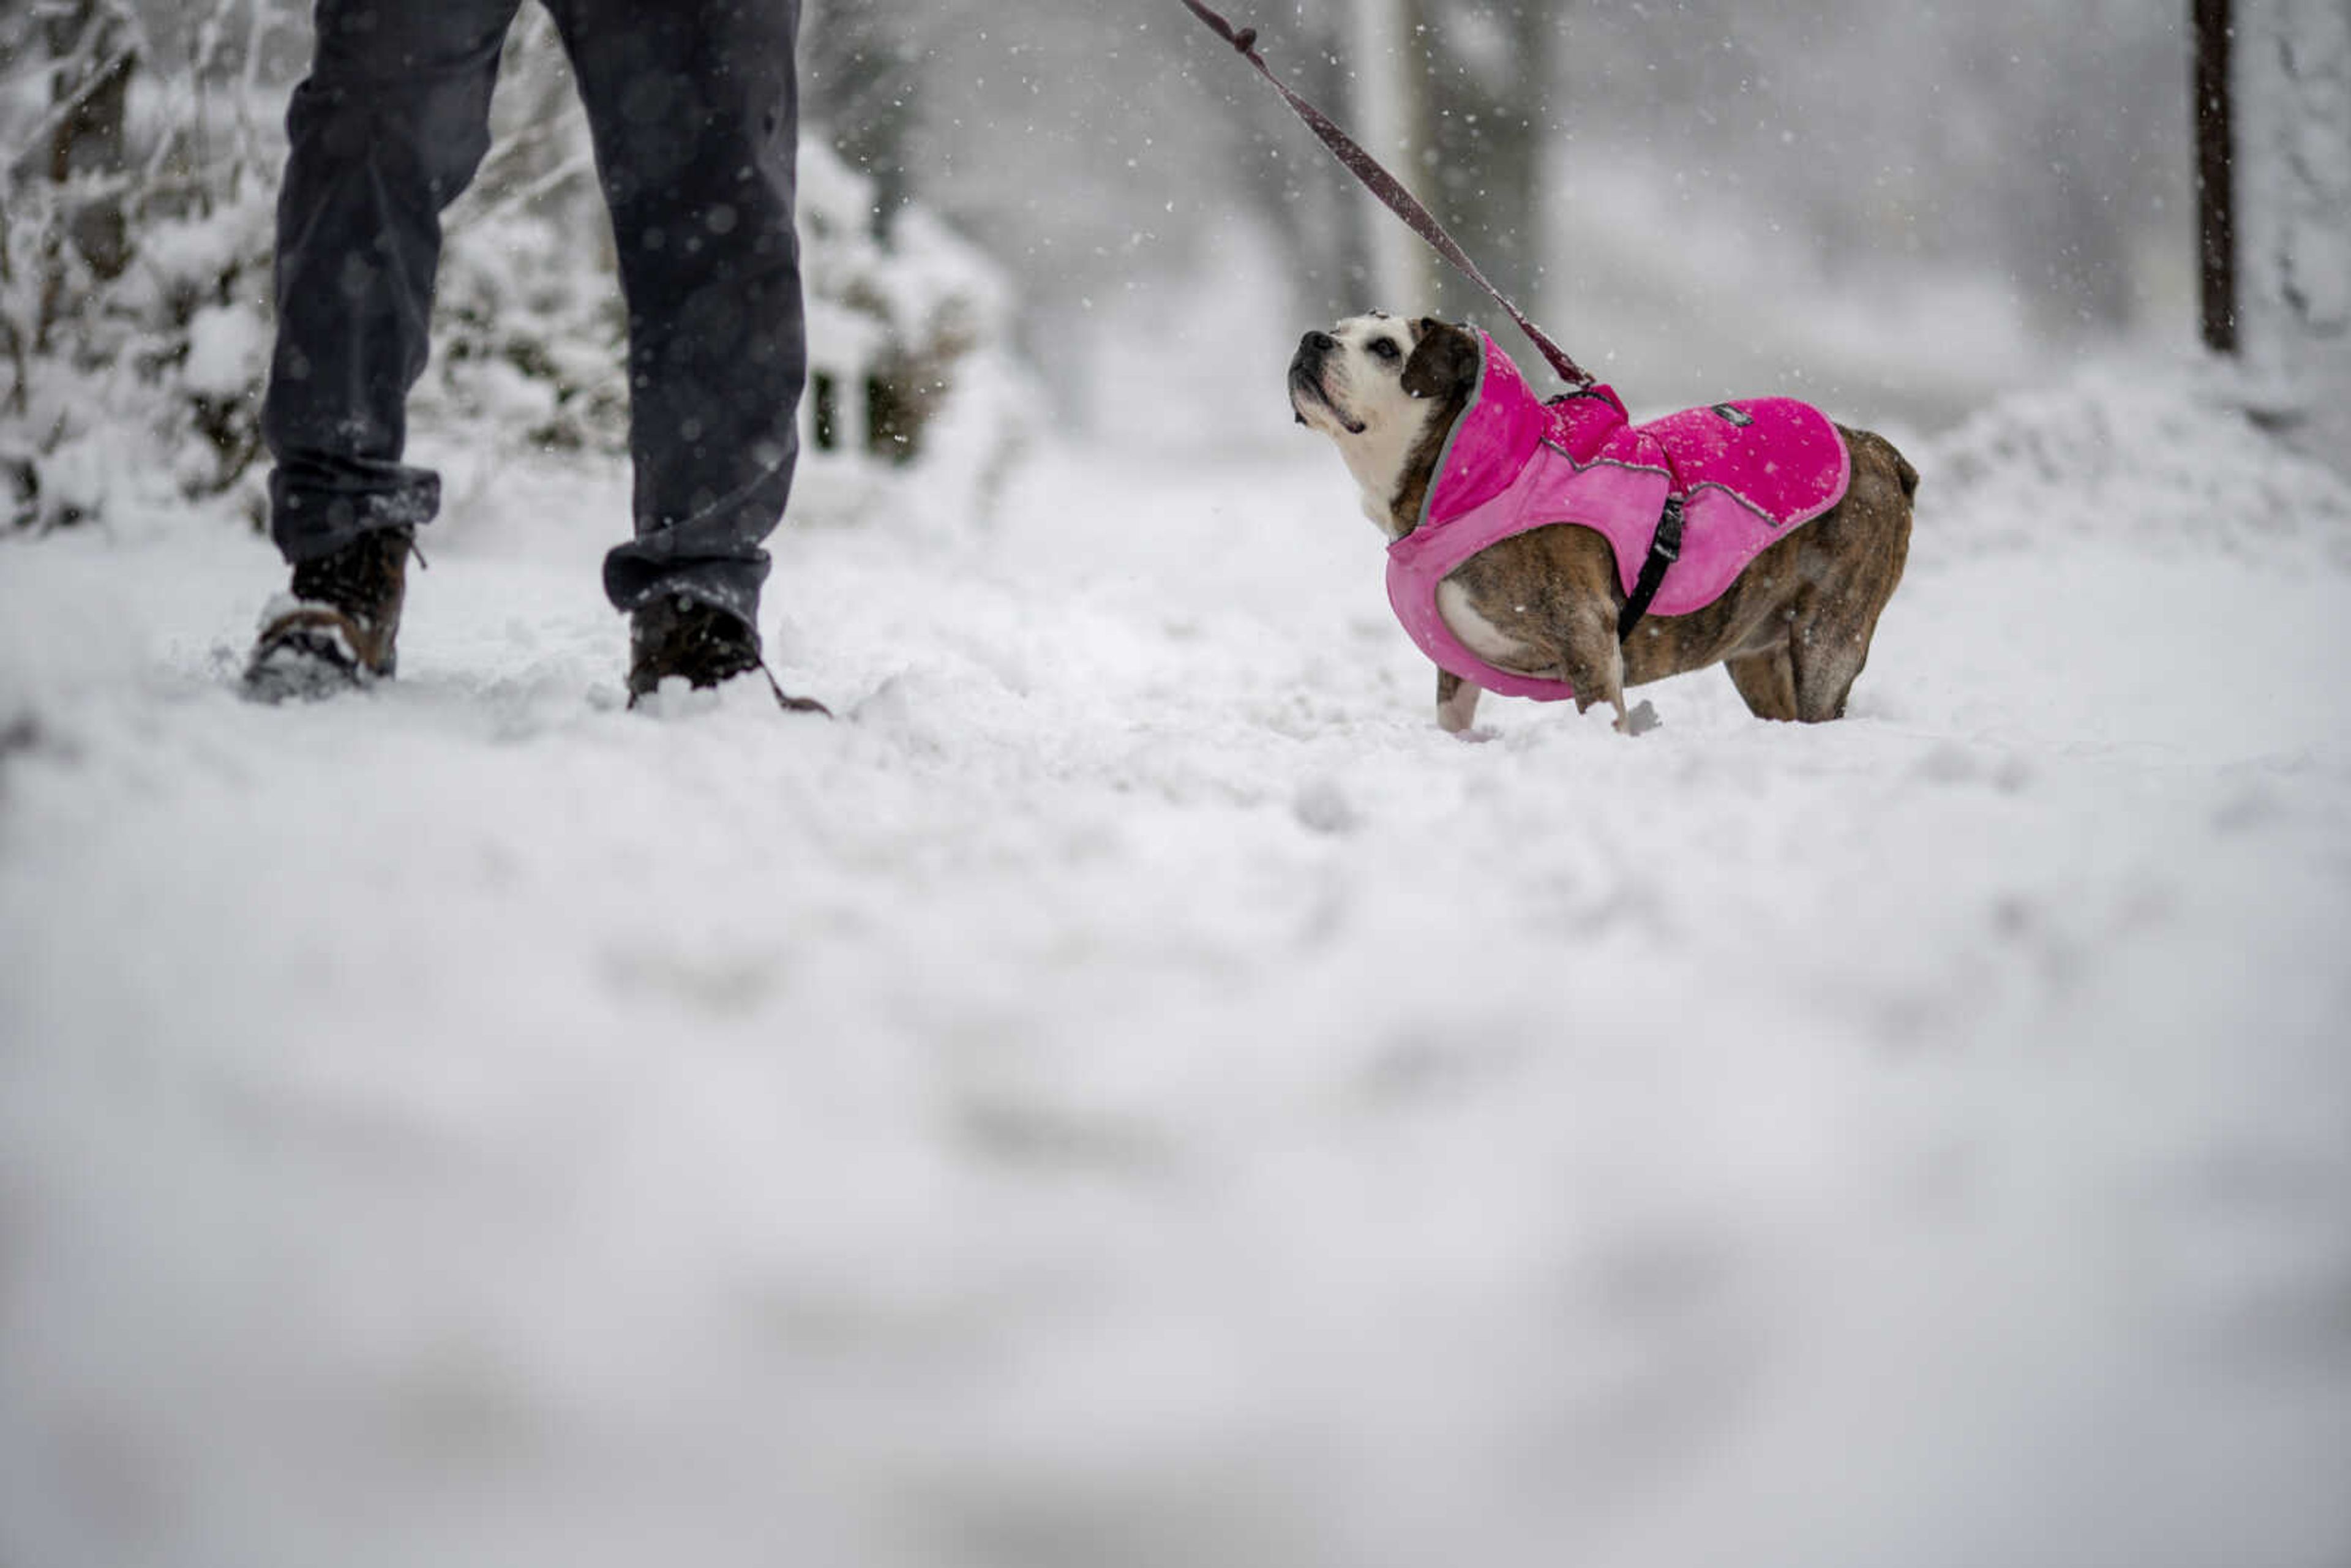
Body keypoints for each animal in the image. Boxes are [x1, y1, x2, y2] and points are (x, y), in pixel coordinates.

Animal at [1297, 320, 1918, 743]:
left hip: (1830, 635)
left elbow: (1599, 704)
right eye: (1338, 328)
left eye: (1385, 348)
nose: (1312, 339)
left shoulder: (1587, 635)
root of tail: (1876, 449)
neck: (1483, 478)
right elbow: (1453, 714)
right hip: (1756, 652)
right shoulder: (1453, 670)